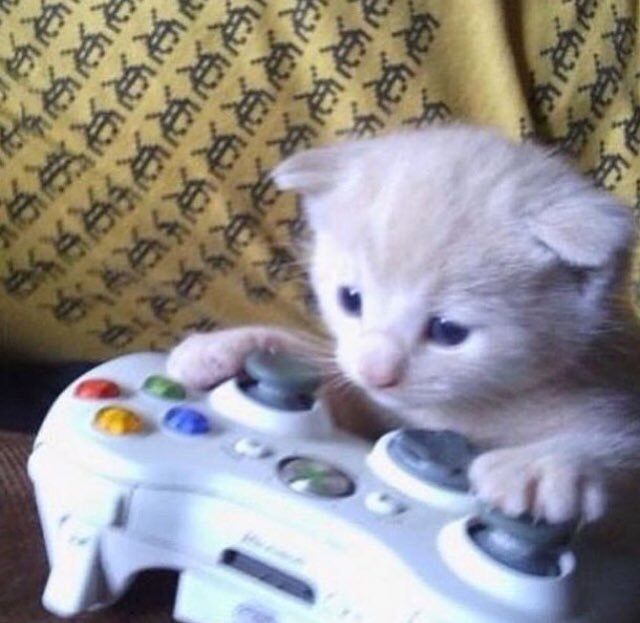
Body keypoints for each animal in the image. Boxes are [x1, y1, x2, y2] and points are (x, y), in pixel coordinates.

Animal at [166, 125, 640, 532]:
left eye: (448, 331)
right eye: (350, 300)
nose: (377, 373)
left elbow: (619, 450)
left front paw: (543, 465)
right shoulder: (370, 402)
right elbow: (328, 374)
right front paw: (226, 348)